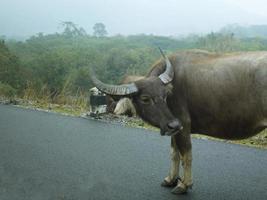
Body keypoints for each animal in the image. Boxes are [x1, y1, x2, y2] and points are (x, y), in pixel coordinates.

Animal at [90, 49, 267, 195]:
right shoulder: (173, 128)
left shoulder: (183, 126)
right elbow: (174, 153)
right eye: (146, 98)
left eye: (165, 95)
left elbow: (186, 155)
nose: (173, 124)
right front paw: (170, 179)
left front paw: (184, 185)